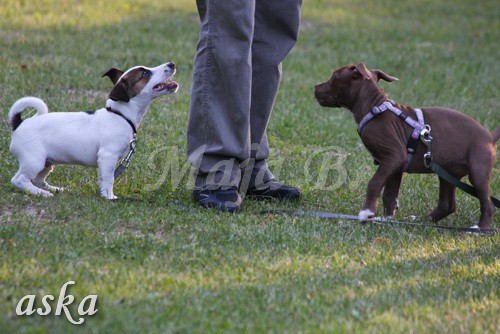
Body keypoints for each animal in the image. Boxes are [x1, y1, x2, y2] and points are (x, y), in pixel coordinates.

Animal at [7, 61, 178, 198]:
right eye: (144, 73)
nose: (171, 64)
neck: (120, 115)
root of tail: (19, 124)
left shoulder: (106, 162)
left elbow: (103, 179)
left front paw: (103, 194)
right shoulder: (107, 156)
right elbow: (109, 179)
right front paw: (110, 197)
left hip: (47, 163)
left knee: (37, 179)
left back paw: (53, 189)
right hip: (34, 160)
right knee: (19, 180)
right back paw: (41, 193)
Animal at [314, 63, 498, 227]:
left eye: (333, 77)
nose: (315, 86)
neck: (373, 107)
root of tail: (490, 136)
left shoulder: (394, 157)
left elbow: (374, 183)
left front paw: (367, 213)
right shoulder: (395, 166)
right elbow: (389, 195)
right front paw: (386, 220)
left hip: (478, 171)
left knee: (488, 205)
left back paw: (478, 229)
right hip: (448, 173)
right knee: (448, 204)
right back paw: (424, 221)